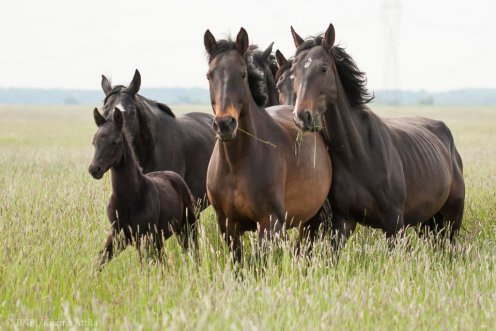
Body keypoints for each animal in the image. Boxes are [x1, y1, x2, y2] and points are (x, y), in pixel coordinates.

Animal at [89, 109, 198, 268]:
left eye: (114, 141)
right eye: (94, 142)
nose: (94, 169)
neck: (130, 198)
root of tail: (175, 176)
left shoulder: (145, 236)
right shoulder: (119, 235)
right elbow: (100, 261)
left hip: (187, 226)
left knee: (192, 250)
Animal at [290, 23, 464, 241]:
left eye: (324, 68)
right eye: (293, 71)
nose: (302, 116)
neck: (359, 154)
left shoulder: (394, 225)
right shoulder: (343, 222)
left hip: (452, 219)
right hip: (428, 222)